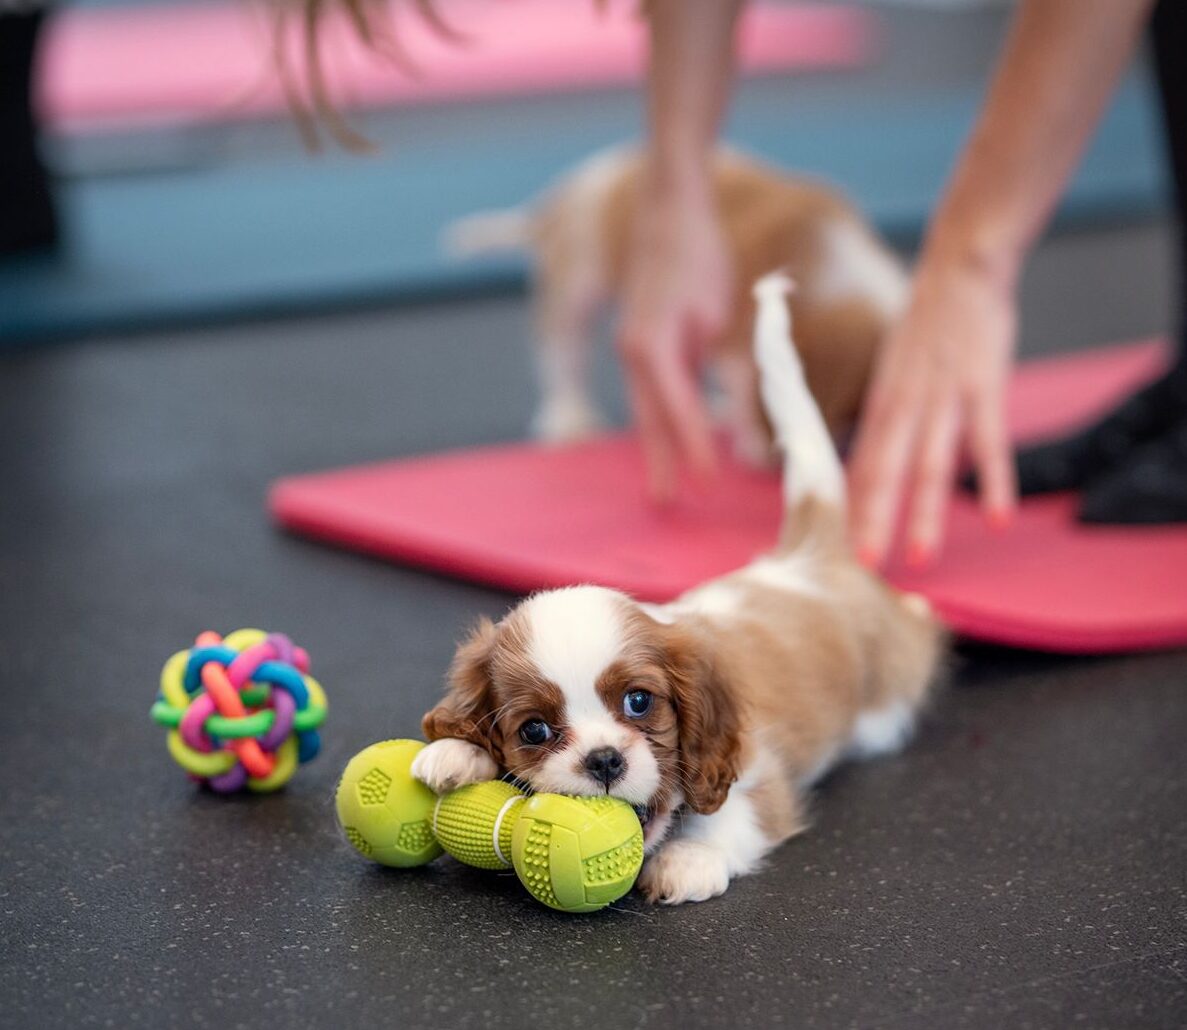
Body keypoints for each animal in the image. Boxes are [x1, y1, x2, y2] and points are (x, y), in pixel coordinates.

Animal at [413, 271, 940, 901]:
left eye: (639, 702)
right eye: (534, 729)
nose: (605, 761)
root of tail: (807, 555)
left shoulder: (760, 776)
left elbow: (734, 816)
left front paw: (689, 857)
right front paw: (457, 750)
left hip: (884, 698)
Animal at [446, 144, 906, 462]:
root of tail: (559, 197)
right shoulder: (742, 339)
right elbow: (751, 387)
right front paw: (757, 441)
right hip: (576, 285)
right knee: (561, 354)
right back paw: (569, 418)